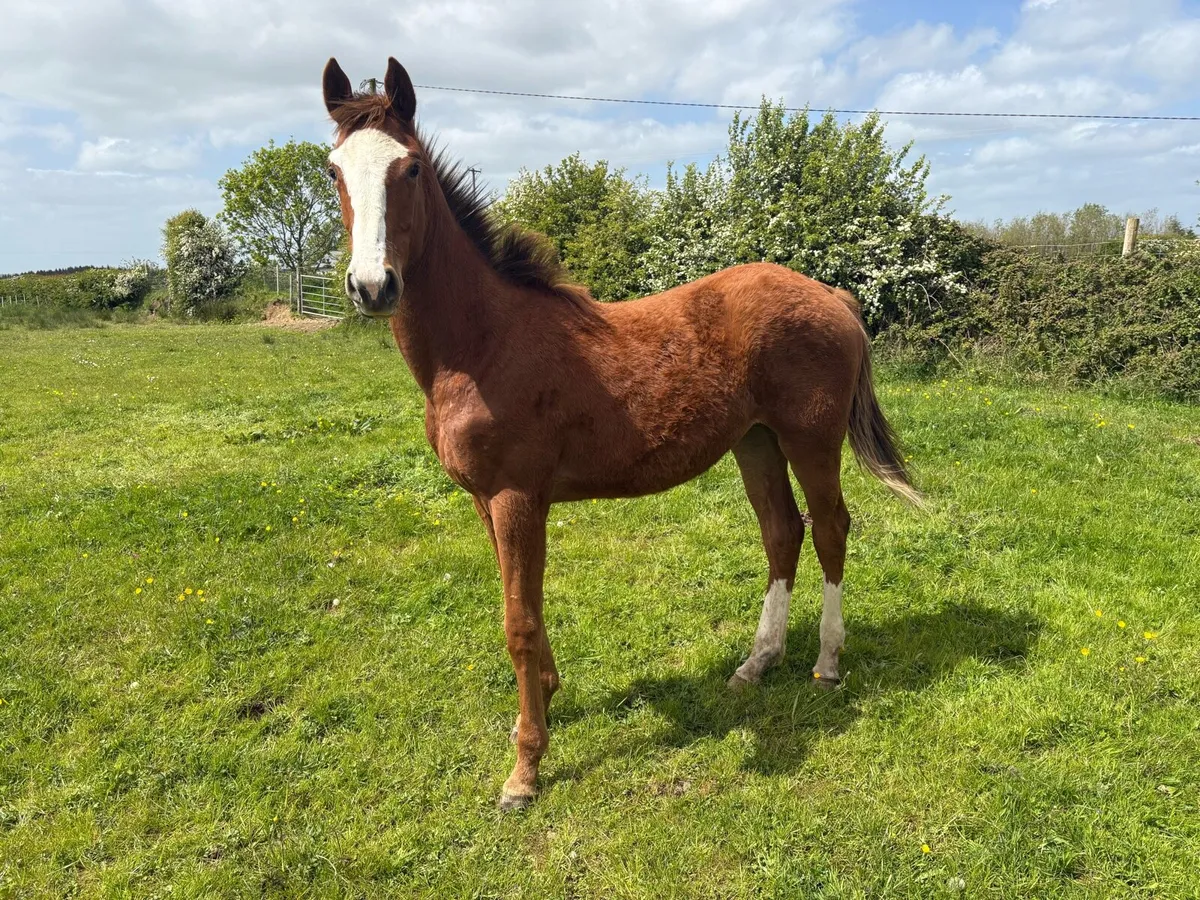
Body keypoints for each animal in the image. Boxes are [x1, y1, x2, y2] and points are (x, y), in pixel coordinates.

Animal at [321, 57, 920, 811]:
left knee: (832, 526)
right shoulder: (486, 501)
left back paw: (827, 662)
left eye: (411, 169)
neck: (482, 346)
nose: (373, 286)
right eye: (334, 171)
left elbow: (518, 621)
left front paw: (524, 769)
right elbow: (524, 605)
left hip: (809, 440)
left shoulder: (516, 496)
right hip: (754, 441)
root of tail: (834, 296)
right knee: (783, 530)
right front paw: (546, 702)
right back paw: (756, 664)